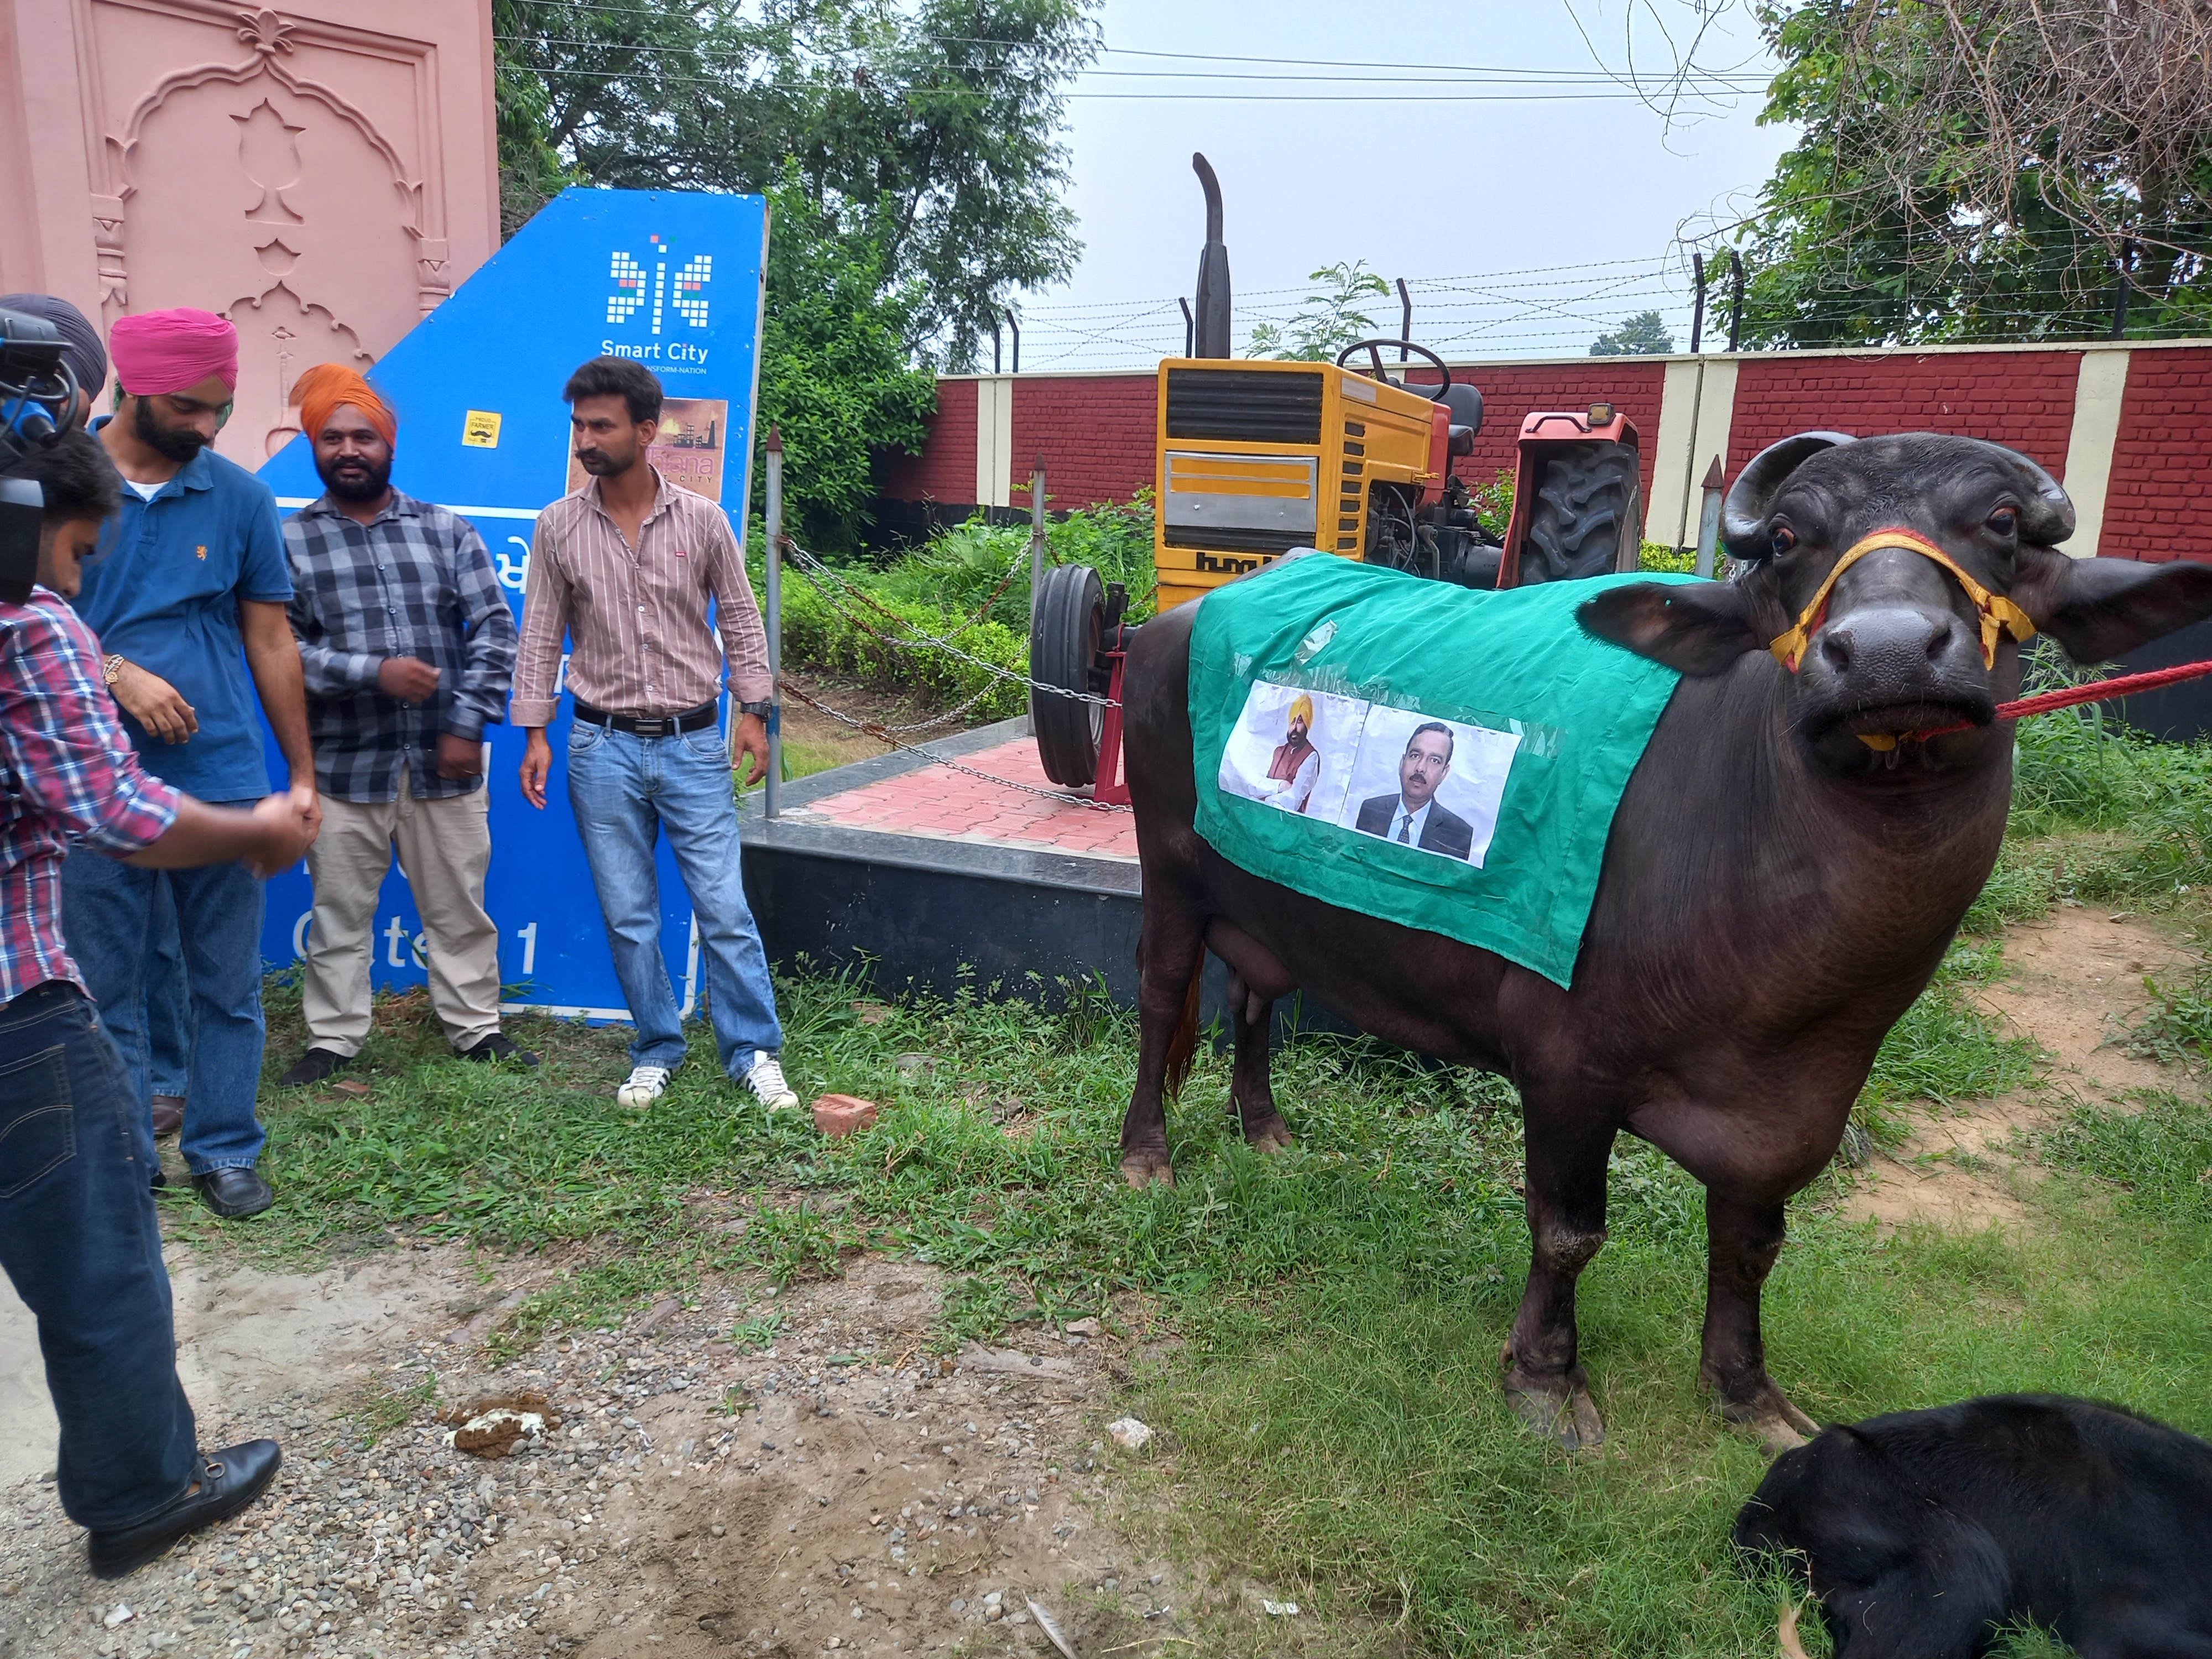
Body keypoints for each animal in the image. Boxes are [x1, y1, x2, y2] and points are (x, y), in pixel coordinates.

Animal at [1124, 431, 2212, 1451]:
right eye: (1790, 539)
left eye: (2001, 524)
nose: (1888, 650)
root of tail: (1183, 613)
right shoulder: (1566, 1069)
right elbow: (1568, 1231)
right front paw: (1545, 1381)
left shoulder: (1794, 1110)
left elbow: (1751, 1247)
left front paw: (1745, 1393)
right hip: (1171, 873)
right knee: (1162, 999)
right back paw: (1148, 1157)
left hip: (1265, 902)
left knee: (1254, 993)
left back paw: (1266, 1129)